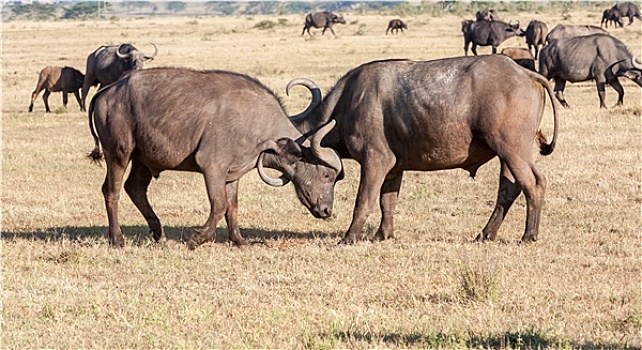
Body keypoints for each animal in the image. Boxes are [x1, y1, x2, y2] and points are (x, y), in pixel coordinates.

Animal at [89, 67, 344, 249]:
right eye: (326, 174)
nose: (326, 211)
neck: (257, 124)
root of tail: (107, 91)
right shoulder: (212, 168)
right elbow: (219, 204)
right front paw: (197, 238)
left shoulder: (233, 174)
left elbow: (232, 206)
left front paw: (239, 240)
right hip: (119, 153)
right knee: (112, 191)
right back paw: (117, 239)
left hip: (142, 159)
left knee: (135, 188)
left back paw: (158, 234)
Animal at [288, 56, 556, 245]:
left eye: (327, 175)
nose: (324, 210)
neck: (349, 101)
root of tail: (525, 73)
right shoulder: (394, 169)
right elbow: (388, 201)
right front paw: (383, 235)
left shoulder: (375, 161)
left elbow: (364, 200)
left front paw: (349, 237)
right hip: (507, 155)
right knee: (508, 190)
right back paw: (485, 234)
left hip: (512, 149)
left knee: (534, 183)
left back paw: (529, 235)